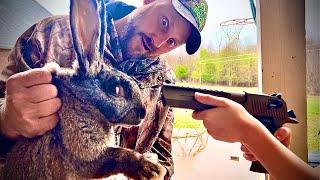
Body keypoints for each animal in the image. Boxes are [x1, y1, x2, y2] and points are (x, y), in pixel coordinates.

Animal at [0, 0, 165, 179]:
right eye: (115, 89)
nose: (143, 113)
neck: (83, 100)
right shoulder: (86, 156)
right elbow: (118, 155)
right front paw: (153, 170)